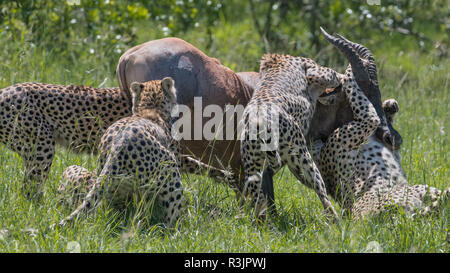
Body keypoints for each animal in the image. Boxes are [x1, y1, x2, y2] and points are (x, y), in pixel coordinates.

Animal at [239, 53, 342, 219]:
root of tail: (259, 120)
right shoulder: (315, 72)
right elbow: (333, 74)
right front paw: (343, 77)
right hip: (303, 158)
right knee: (323, 196)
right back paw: (339, 223)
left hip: (253, 168)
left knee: (259, 200)